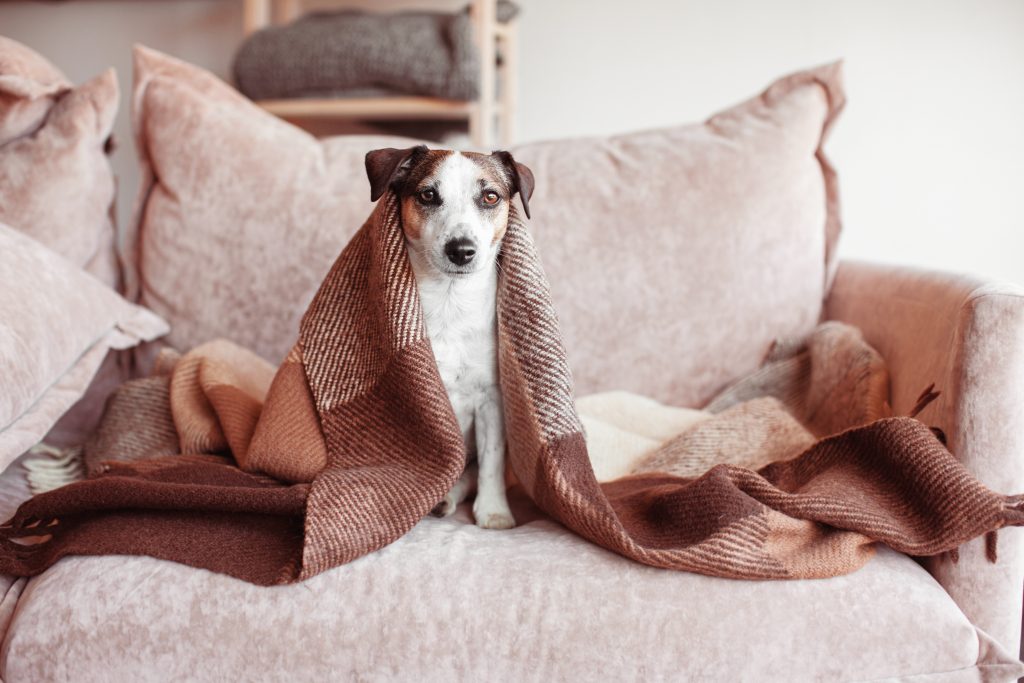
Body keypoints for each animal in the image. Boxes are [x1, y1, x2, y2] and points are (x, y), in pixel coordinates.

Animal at [362, 143, 536, 528]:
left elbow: (491, 462)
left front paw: (494, 511)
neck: (449, 302)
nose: (461, 250)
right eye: (428, 194)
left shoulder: (490, 399)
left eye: (490, 196)